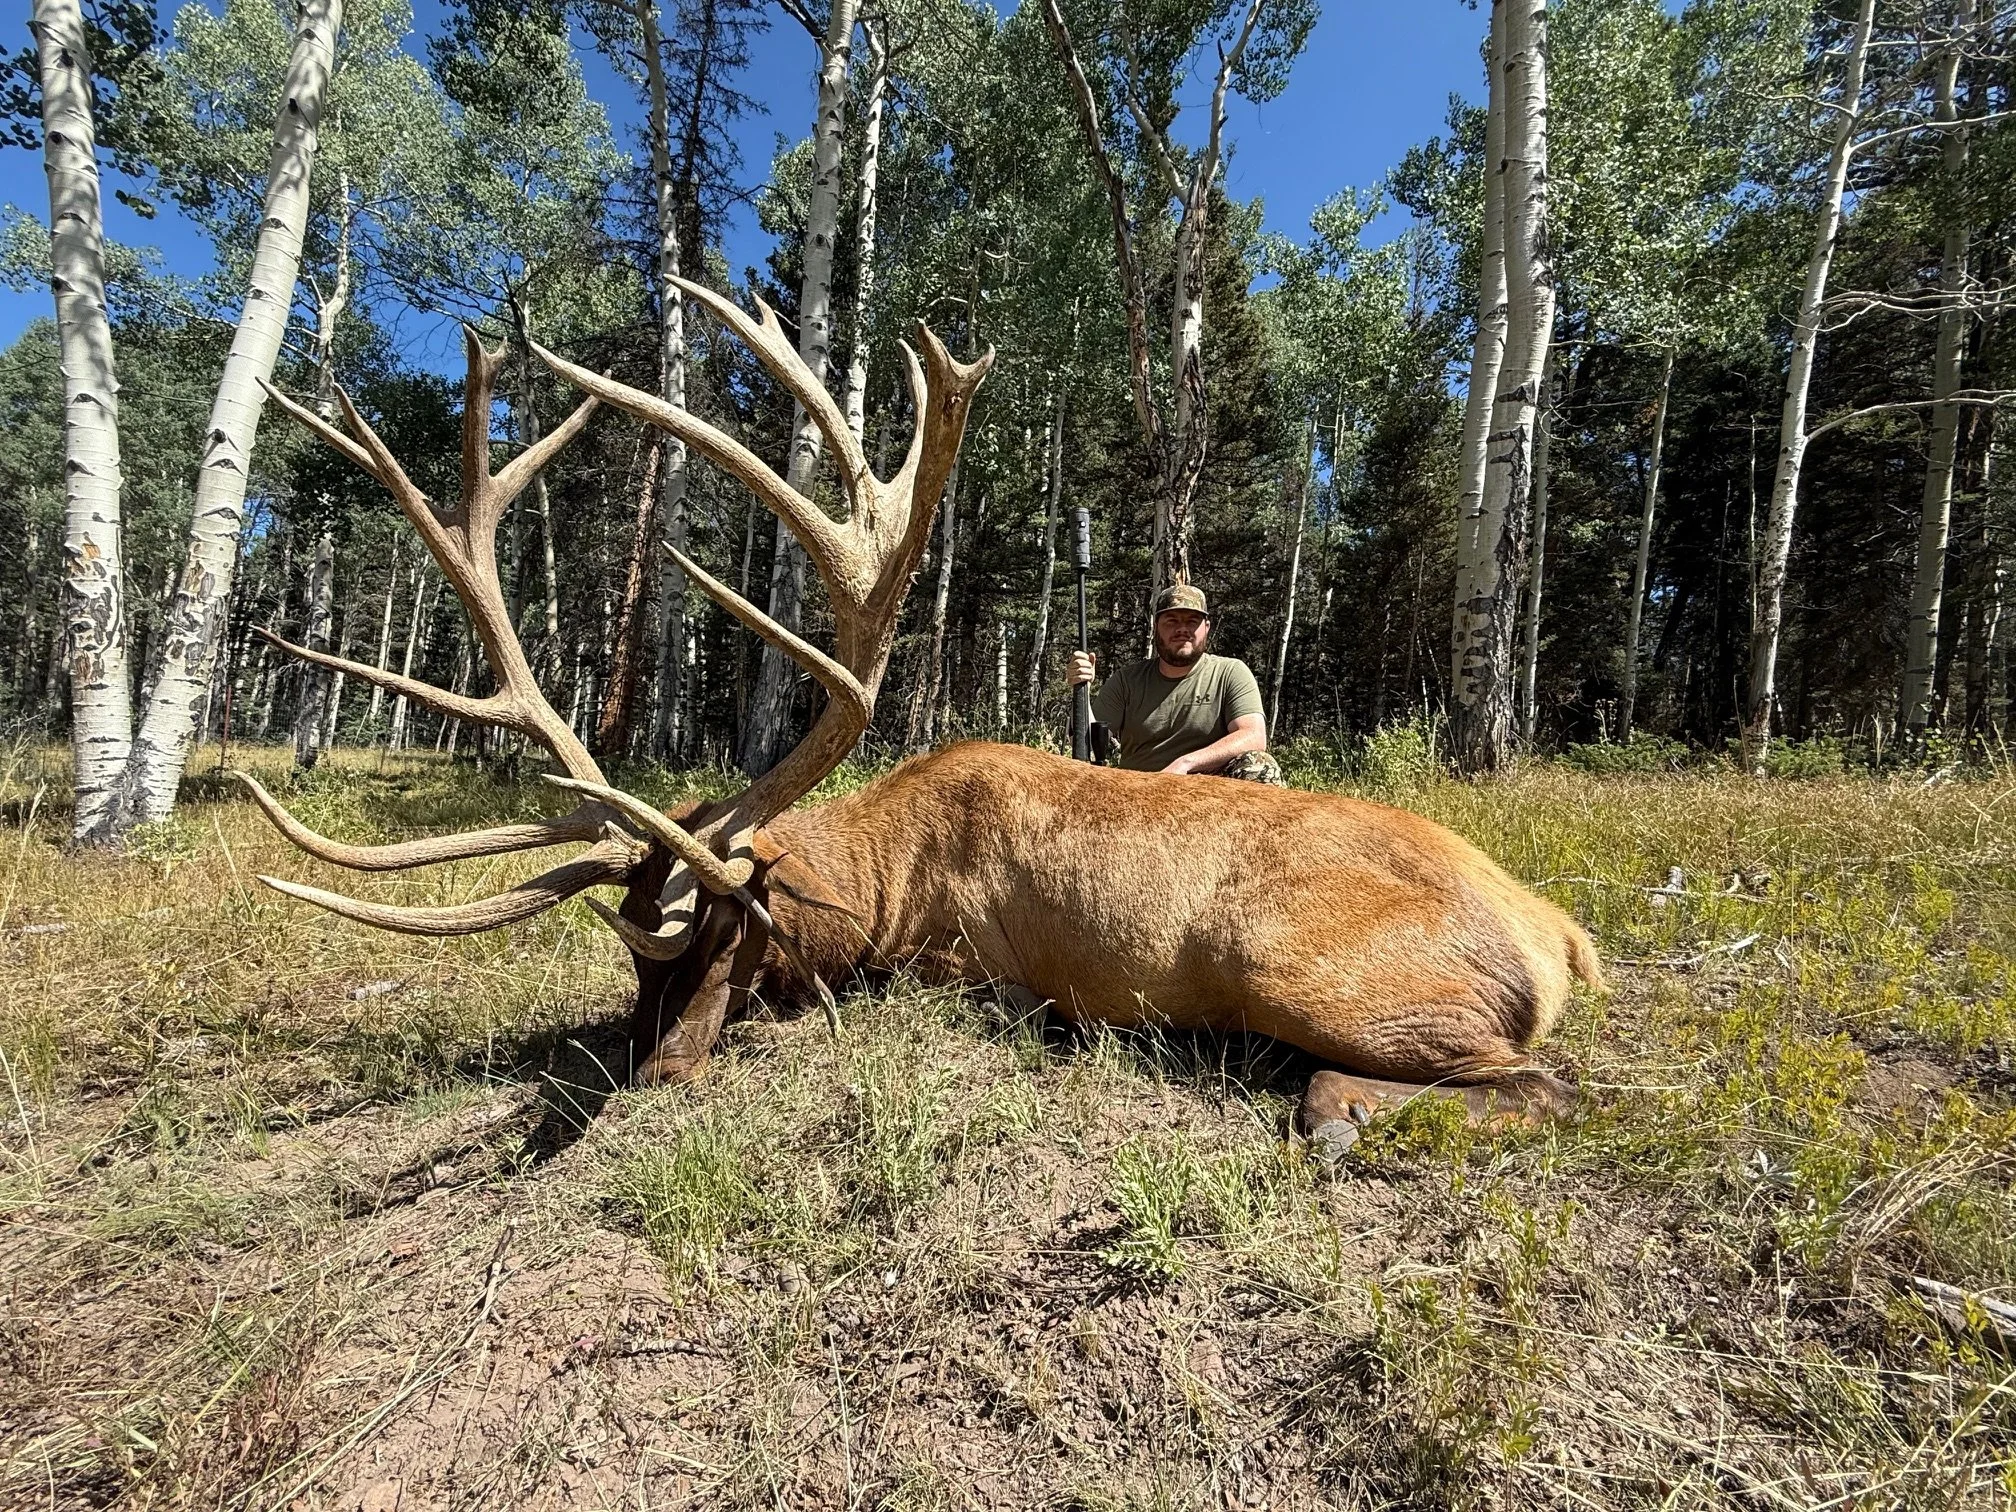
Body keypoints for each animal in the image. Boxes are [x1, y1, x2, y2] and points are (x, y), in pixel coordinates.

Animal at [239, 278, 1602, 1151]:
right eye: (630, 957)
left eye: (727, 935)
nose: (656, 1073)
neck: (889, 879)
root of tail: (1561, 933)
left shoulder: (953, 961)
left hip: (1314, 968)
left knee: (1542, 1083)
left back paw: (1336, 1114)